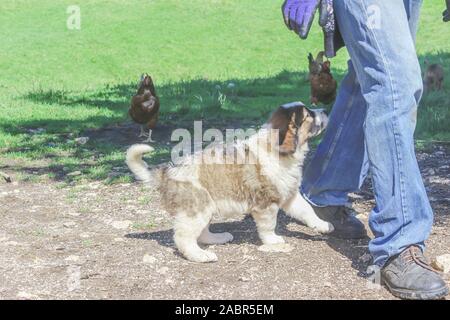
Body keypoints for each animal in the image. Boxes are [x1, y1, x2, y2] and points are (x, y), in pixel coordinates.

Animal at [126, 102, 334, 262]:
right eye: (308, 115)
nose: (325, 109)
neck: (280, 152)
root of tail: (167, 171)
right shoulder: (266, 203)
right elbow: (268, 225)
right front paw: (272, 241)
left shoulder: (289, 194)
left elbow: (307, 210)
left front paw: (322, 225)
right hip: (197, 208)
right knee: (183, 237)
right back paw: (200, 256)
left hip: (206, 208)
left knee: (202, 232)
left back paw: (217, 238)